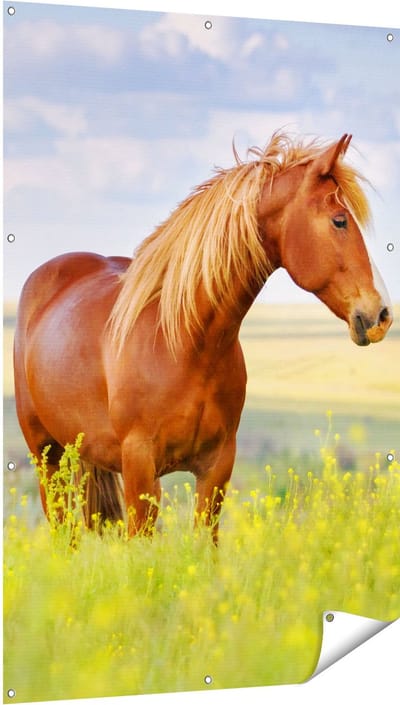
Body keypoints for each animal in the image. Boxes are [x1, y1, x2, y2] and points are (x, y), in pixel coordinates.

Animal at [13, 131, 393, 542]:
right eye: (340, 221)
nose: (382, 314)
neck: (184, 343)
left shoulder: (217, 467)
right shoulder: (139, 467)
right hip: (47, 458)